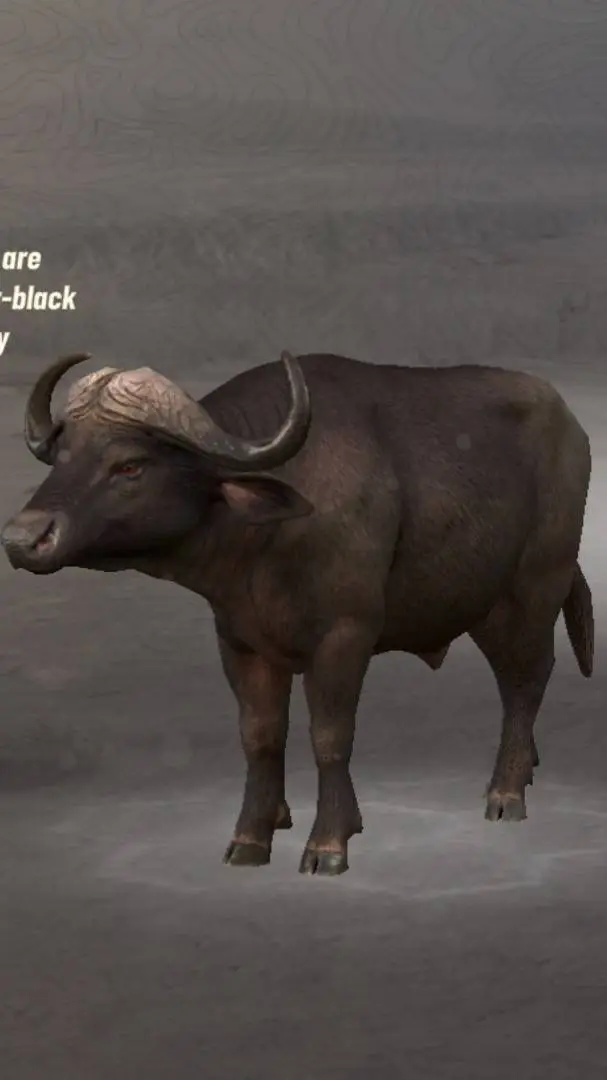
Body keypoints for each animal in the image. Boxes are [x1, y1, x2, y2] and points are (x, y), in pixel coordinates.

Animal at [1, 351, 594, 875]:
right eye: (62, 455)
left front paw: (329, 843)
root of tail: (572, 427)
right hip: (483, 607)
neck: (263, 542)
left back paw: (506, 793)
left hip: (532, 589)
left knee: (526, 681)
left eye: (129, 464)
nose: (22, 538)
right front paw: (250, 837)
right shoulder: (239, 641)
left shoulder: (344, 637)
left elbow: (330, 737)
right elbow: (260, 735)